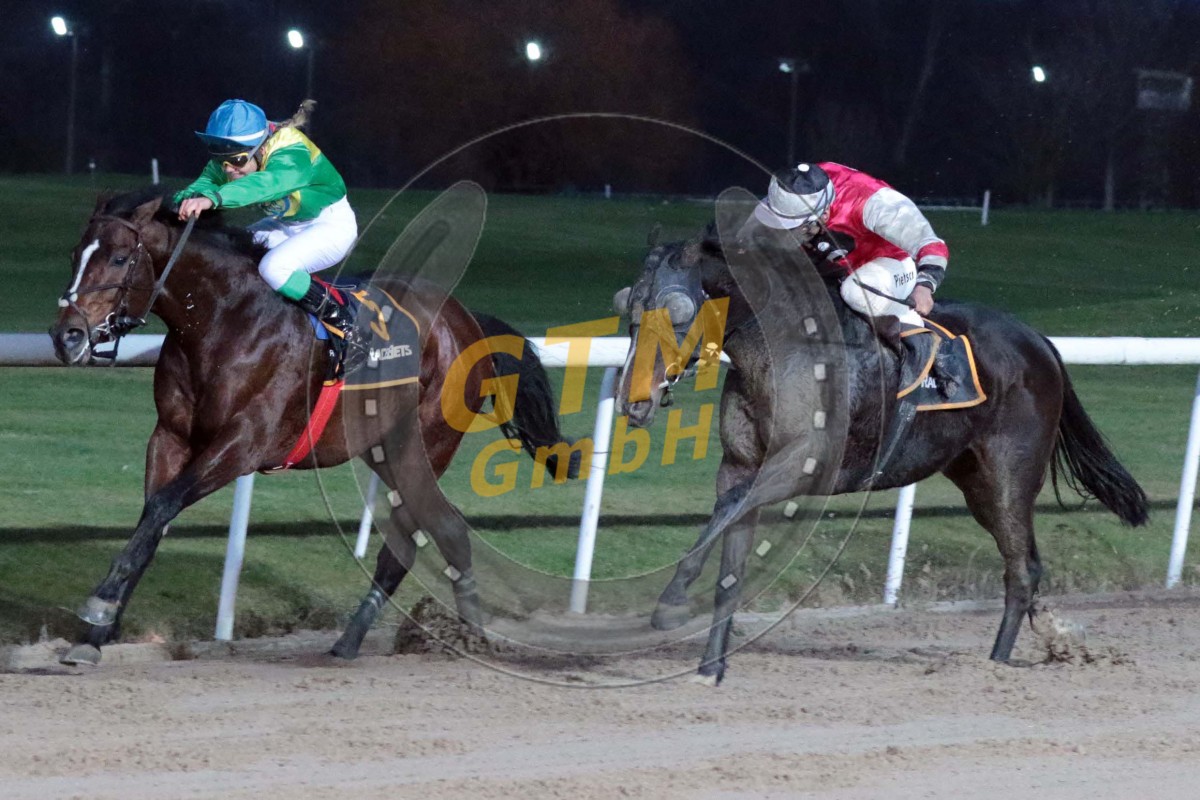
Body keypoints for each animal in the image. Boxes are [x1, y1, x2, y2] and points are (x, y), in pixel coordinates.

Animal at [49, 186, 575, 666]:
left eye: (120, 258)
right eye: (75, 254)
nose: (66, 336)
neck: (223, 320)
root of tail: (467, 321)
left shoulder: (242, 444)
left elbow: (161, 507)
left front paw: (98, 608)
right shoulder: (170, 437)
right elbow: (152, 520)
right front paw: (95, 636)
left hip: (423, 443)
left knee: (414, 540)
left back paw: (422, 640)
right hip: (384, 449)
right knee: (447, 531)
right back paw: (450, 636)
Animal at [613, 203, 1149, 685]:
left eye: (674, 312)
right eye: (630, 310)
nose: (633, 401)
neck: (782, 349)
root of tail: (1040, 342)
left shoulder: (802, 464)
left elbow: (726, 514)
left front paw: (670, 604)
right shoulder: (740, 465)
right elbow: (730, 555)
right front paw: (711, 668)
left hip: (1009, 476)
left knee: (1022, 570)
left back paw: (995, 666)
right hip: (973, 479)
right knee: (1022, 565)